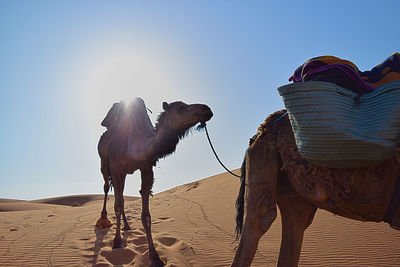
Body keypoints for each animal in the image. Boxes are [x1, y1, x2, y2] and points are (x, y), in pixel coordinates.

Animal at [95, 99, 214, 267]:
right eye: (181, 108)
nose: (206, 109)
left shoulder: (146, 169)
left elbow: (146, 216)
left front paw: (155, 257)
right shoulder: (116, 168)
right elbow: (117, 205)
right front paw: (116, 242)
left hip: (123, 173)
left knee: (122, 195)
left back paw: (127, 226)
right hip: (104, 164)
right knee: (107, 187)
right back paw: (103, 219)